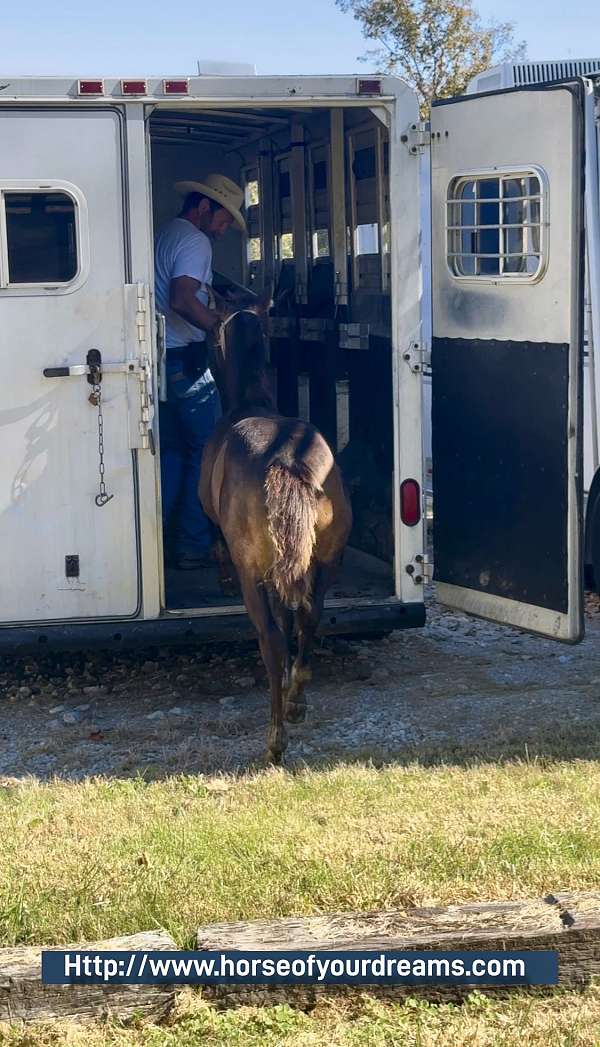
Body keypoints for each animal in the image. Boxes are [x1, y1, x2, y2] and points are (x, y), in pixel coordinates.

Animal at [201, 299, 351, 766]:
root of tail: (287, 460)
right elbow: (292, 618)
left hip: (254, 574)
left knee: (271, 641)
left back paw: (275, 739)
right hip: (326, 560)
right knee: (309, 619)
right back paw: (296, 698)